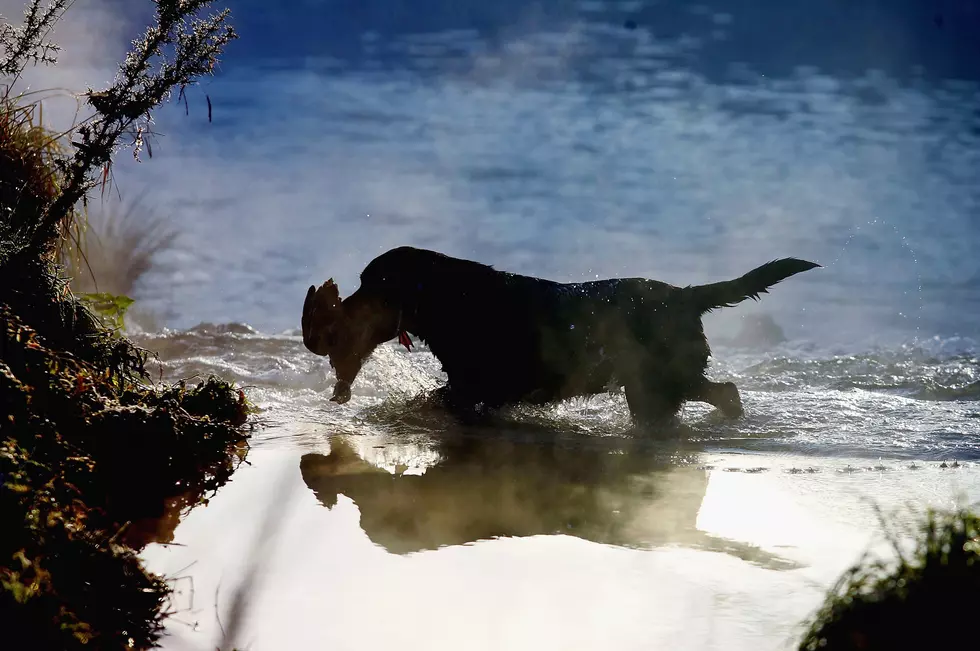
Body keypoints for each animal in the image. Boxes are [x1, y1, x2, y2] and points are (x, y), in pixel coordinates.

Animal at [300, 247, 820, 426]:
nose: (341, 307)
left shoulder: (474, 385)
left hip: (658, 381)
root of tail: (686, 297)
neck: (451, 299)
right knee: (721, 392)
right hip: (657, 385)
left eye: (372, 283)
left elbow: (432, 399)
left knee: (720, 392)